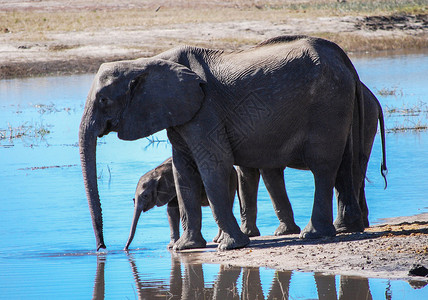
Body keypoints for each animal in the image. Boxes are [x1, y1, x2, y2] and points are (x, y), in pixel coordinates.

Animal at [80, 34, 364, 251]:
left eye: (103, 100)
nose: (102, 248)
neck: (147, 62)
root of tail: (344, 58)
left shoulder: (205, 109)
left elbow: (213, 165)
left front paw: (229, 246)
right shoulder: (182, 112)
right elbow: (182, 171)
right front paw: (186, 248)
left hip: (327, 103)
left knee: (323, 165)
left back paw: (314, 234)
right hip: (338, 103)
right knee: (345, 161)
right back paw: (346, 228)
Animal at [237, 82, 388, 237]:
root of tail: (375, 100)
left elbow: (267, 171)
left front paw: (283, 232)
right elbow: (246, 174)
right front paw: (249, 234)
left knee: (353, 171)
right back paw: (360, 224)